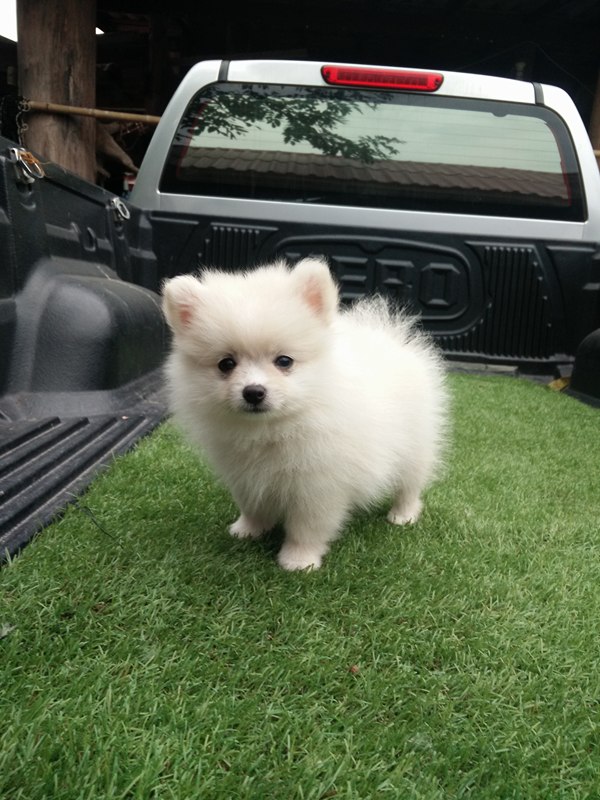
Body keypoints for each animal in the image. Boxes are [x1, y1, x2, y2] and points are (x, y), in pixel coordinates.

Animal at [162, 257, 448, 570]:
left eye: (284, 361)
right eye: (226, 364)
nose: (253, 392)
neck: (275, 428)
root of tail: (387, 339)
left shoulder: (318, 485)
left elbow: (306, 526)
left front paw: (298, 560)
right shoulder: (244, 474)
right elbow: (252, 505)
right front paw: (248, 529)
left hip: (415, 445)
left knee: (411, 483)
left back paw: (403, 514)